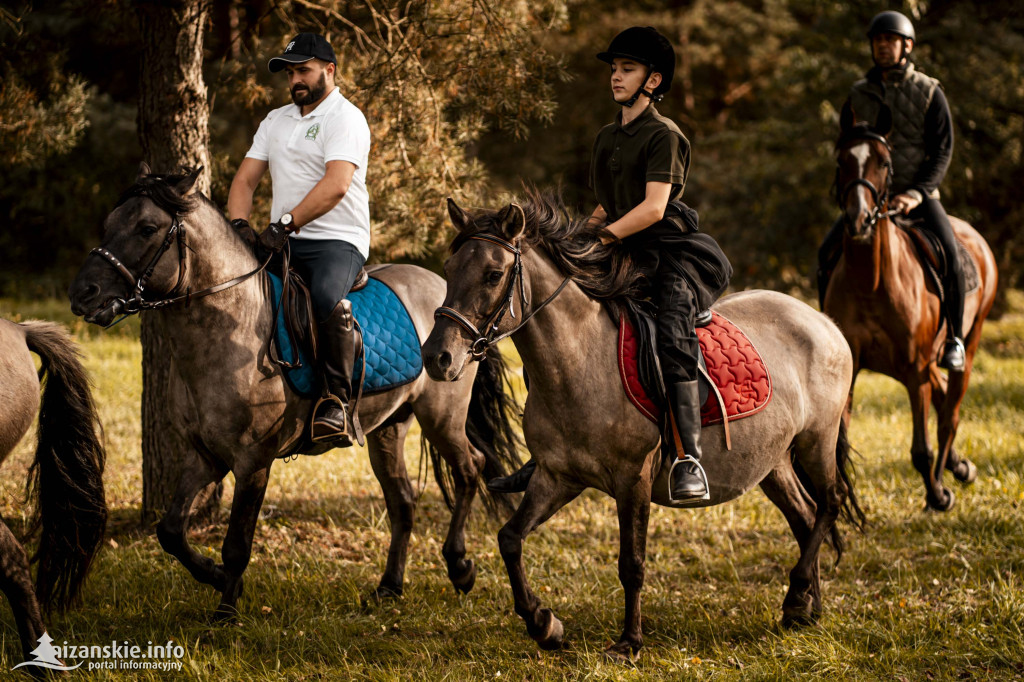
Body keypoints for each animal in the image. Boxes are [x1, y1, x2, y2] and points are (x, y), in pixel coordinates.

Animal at [66, 164, 520, 614]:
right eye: (110, 223)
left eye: (146, 228)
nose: (82, 293)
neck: (230, 326)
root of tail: (452, 305)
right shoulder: (205, 455)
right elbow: (171, 531)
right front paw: (214, 577)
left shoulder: (253, 461)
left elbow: (236, 544)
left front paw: (226, 611)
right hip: (389, 429)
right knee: (403, 502)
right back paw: (389, 587)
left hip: (442, 416)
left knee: (469, 469)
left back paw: (460, 568)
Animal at [419, 192, 860, 659]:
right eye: (449, 269)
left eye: (493, 274)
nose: (437, 358)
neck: (577, 360)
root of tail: (823, 322)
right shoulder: (557, 477)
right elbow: (509, 538)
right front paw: (544, 623)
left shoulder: (634, 479)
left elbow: (631, 562)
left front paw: (629, 640)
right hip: (772, 462)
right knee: (805, 516)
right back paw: (806, 607)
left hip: (817, 440)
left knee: (830, 502)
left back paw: (798, 594)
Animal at [823, 114, 999, 509]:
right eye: (841, 161)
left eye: (885, 163)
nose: (859, 220)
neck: (872, 281)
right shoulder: (853, 369)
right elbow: (839, 442)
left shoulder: (915, 369)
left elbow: (922, 449)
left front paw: (938, 495)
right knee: (943, 394)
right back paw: (960, 466)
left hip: (969, 340)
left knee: (950, 412)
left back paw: (949, 477)